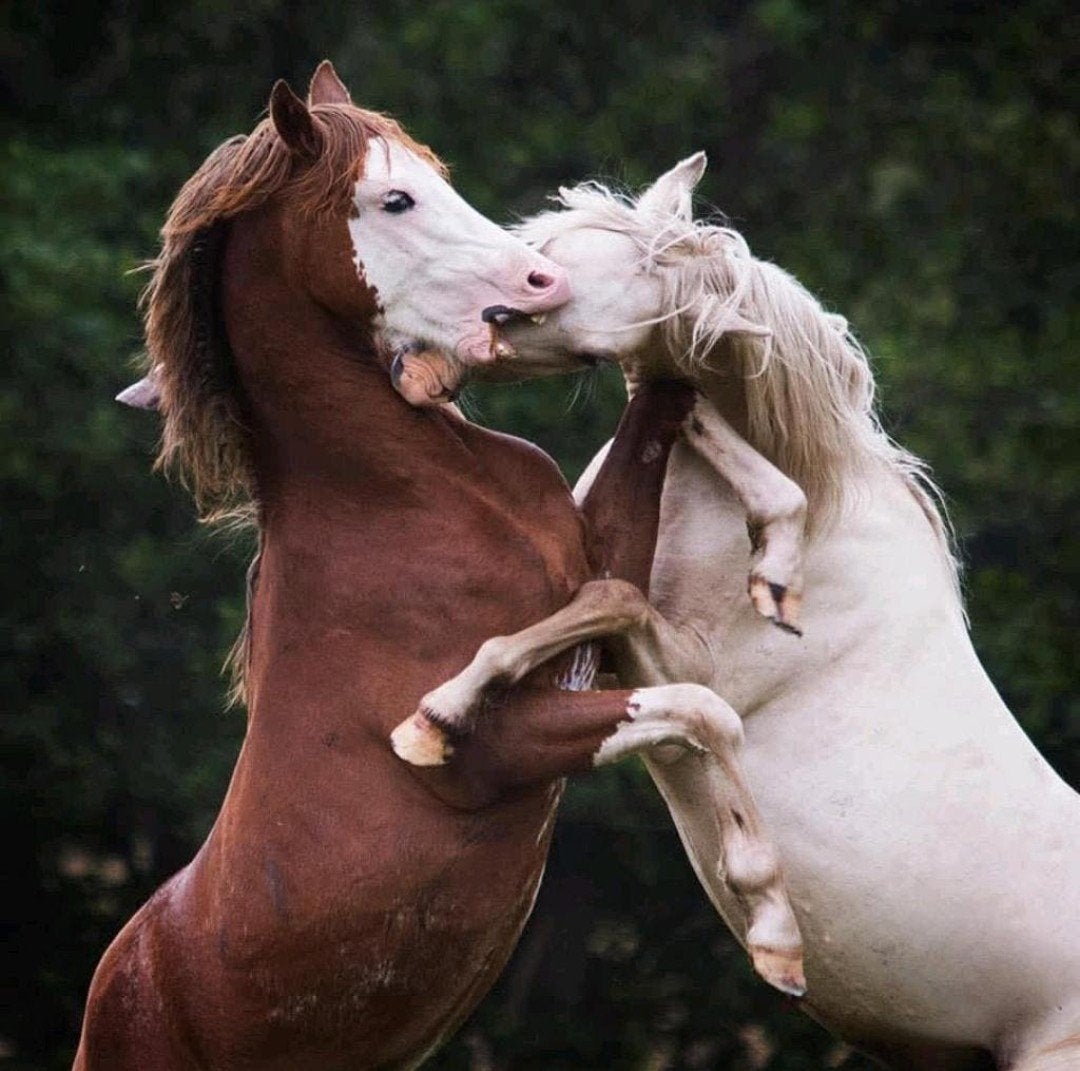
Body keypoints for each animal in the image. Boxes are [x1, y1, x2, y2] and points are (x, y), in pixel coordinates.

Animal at [75, 64, 805, 1070]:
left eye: (436, 175)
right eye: (394, 198)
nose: (543, 281)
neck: (405, 497)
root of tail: (118, 986)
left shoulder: (595, 566)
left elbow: (644, 465)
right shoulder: (504, 750)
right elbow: (699, 708)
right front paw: (778, 936)